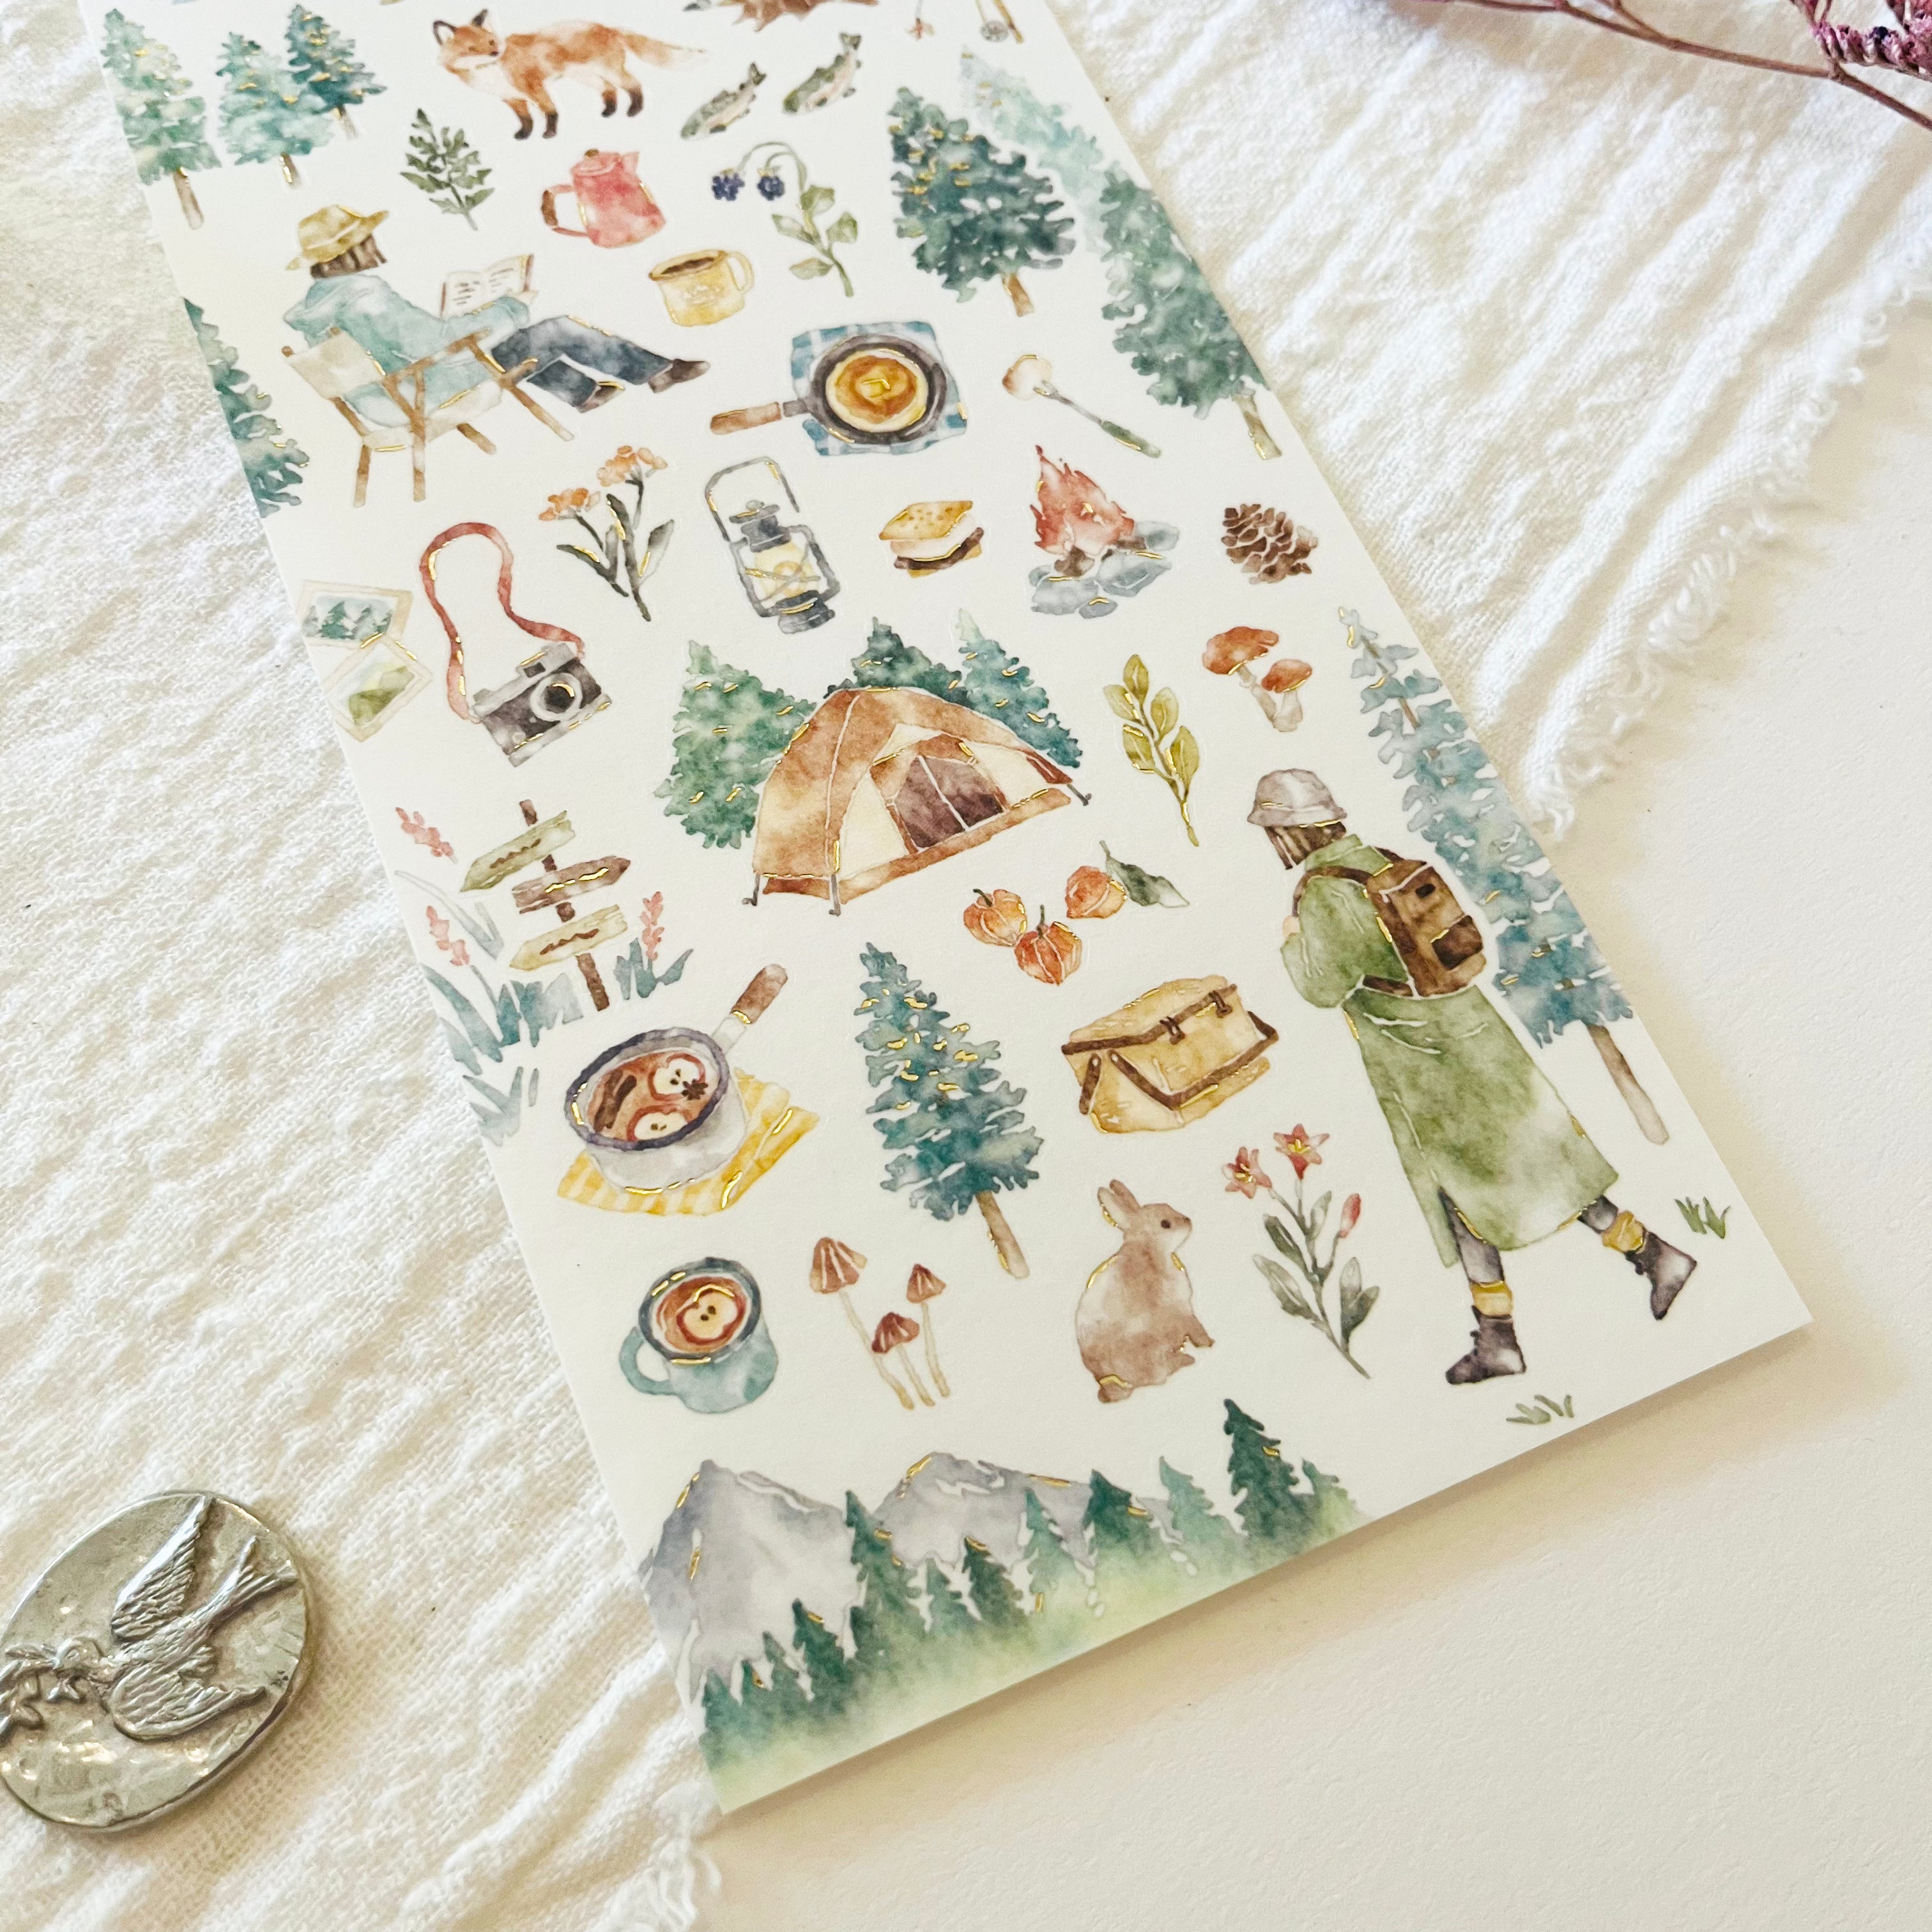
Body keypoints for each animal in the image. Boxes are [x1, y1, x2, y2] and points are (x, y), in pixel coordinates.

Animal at [1076, 1182, 1212, 1402]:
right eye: (1165, 1224)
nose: (1188, 1221)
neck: (1150, 1249)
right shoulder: (1182, 1309)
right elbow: (1195, 1328)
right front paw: (1208, 1342)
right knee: (1161, 1373)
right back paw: (1187, 1359)